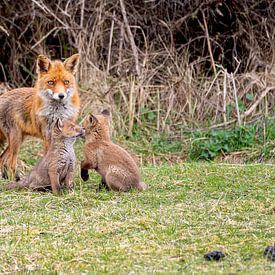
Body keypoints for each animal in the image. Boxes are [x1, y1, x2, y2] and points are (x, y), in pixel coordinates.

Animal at [0, 53, 81, 181]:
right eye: (51, 82)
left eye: (66, 82)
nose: (61, 95)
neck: (57, 114)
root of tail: (2, 95)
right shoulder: (47, 137)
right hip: (16, 141)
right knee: (10, 164)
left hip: (18, 140)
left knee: (1, 159)